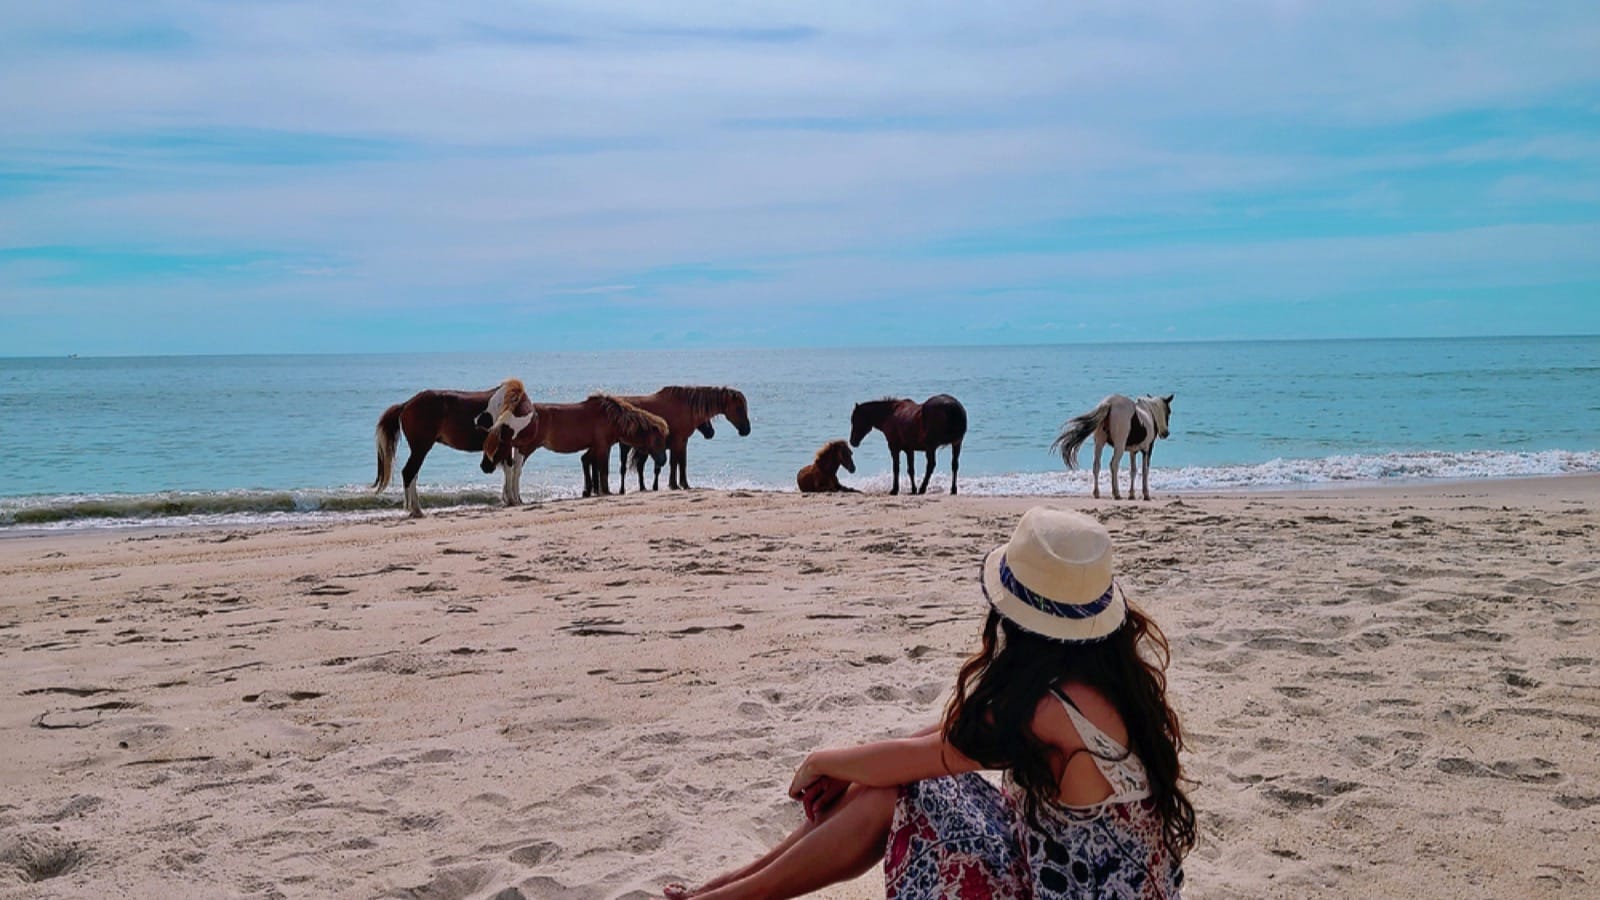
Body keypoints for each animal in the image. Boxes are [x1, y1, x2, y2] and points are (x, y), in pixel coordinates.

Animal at [371, 377, 534, 518]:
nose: (485, 468)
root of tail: (407, 404)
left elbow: (511, 470)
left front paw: (511, 499)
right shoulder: (508, 446)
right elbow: (511, 470)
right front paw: (512, 499)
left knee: (413, 475)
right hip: (420, 449)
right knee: (409, 473)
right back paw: (415, 510)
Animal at [480, 390, 668, 496]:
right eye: (658, 439)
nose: (663, 460)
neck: (610, 417)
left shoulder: (594, 446)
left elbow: (587, 462)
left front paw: (589, 490)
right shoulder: (603, 447)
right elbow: (603, 470)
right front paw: (605, 491)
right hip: (524, 449)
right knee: (515, 471)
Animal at [608, 384, 752, 490]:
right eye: (739, 408)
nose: (747, 430)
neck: (685, 406)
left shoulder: (683, 442)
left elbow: (682, 463)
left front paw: (685, 484)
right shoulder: (676, 443)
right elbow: (674, 463)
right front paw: (674, 485)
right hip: (626, 446)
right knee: (625, 468)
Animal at [1049, 392, 1177, 499]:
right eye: (1169, 411)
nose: (1165, 433)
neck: (1149, 414)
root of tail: (1109, 403)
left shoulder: (1133, 451)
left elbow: (1133, 471)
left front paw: (1132, 494)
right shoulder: (1147, 450)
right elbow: (1145, 471)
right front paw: (1146, 494)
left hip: (1099, 443)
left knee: (1096, 465)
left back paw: (1097, 493)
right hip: (1119, 446)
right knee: (1114, 464)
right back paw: (1116, 493)